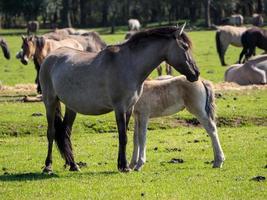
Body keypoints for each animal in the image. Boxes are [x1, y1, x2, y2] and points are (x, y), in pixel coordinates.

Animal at [38, 26, 200, 173]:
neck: (129, 65)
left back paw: (73, 165)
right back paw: (48, 166)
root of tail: (50, 58)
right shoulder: (119, 108)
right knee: (51, 132)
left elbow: (125, 136)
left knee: (65, 132)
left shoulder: (129, 108)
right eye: (185, 47)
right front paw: (125, 166)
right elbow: (123, 137)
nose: (196, 73)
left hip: (71, 107)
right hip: (50, 102)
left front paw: (123, 164)